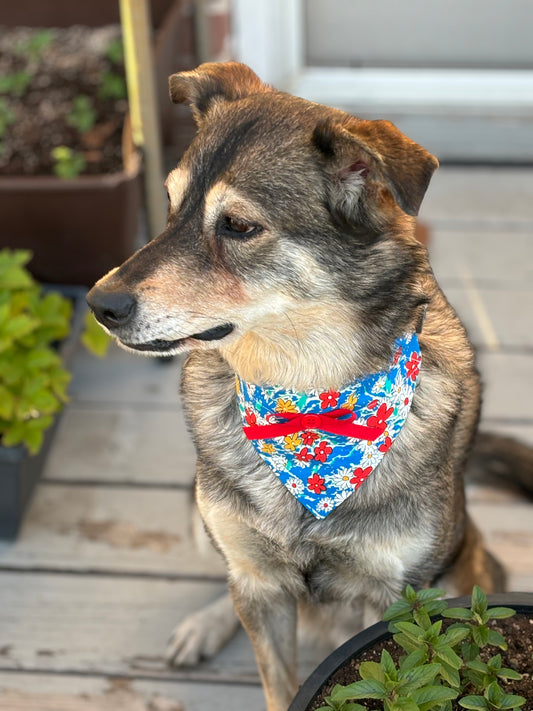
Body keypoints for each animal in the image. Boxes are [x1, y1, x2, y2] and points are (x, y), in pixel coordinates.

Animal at [87, 62, 532, 711]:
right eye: (169, 206)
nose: (99, 305)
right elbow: (275, 677)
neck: (305, 398)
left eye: (238, 226)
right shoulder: (258, 582)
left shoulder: (397, 603)